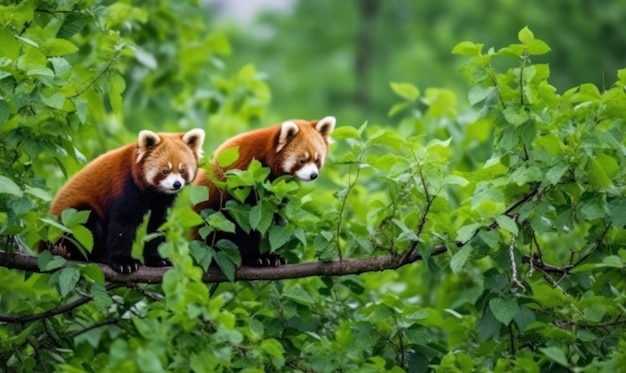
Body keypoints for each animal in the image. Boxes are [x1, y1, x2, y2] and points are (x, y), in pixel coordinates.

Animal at [49, 129, 205, 272]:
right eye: (165, 171)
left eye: (182, 171)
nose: (177, 184)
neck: (151, 192)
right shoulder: (125, 186)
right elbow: (122, 223)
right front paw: (123, 262)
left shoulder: (161, 201)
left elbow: (157, 225)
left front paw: (156, 260)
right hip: (69, 218)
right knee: (90, 225)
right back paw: (76, 253)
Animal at [191, 116, 334, 264]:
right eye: (302, 161)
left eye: (317, 160)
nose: (313, 175)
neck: (267, 155)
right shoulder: (242, 178)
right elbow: (247, 223)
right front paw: (256, 257)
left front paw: (273, 255)